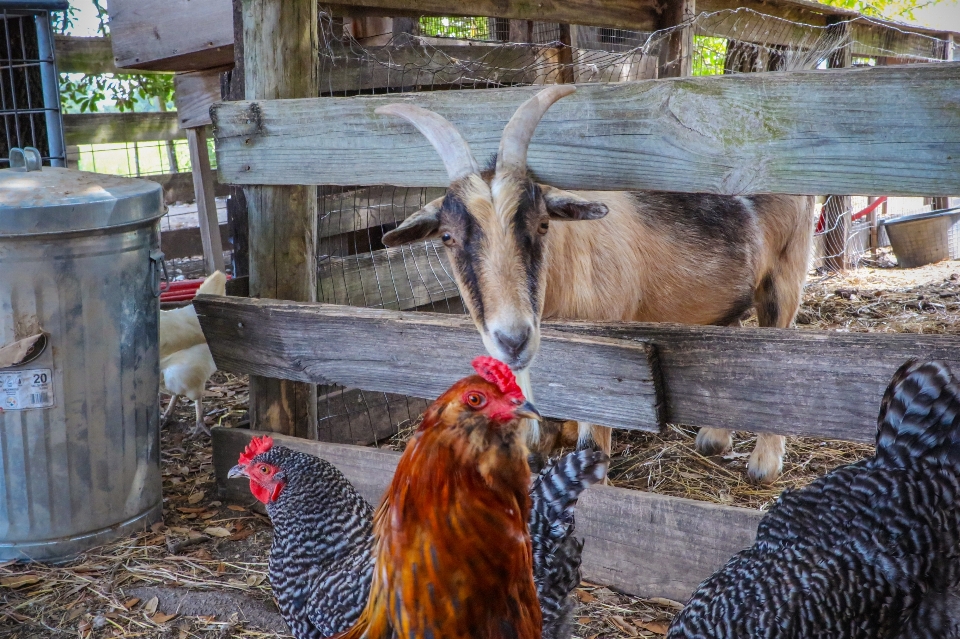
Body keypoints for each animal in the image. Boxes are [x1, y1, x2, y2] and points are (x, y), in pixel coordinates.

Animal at [378, 86, 812, 484]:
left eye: (543, 224)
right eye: (447, 237)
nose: (513, 340)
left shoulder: (605, 374)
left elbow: (590, 451)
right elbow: (535, 444)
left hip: (785, 277)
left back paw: (763, 464)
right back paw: (713, 438)